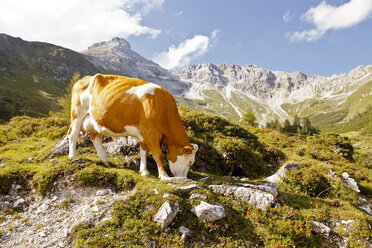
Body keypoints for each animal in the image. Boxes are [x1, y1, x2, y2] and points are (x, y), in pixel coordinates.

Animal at [68, 73, 199, 180]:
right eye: (190, 162)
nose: (184, 178)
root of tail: (84, 79)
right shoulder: (150, 133)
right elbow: (158, 154)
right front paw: (164, 175)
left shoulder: (143, 133)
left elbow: (143, 151)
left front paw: (144, 171)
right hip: (77, 113)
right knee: (72, 134)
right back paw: (72, 156)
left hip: (96, 121)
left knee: (95, 139)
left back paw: (105, 161)